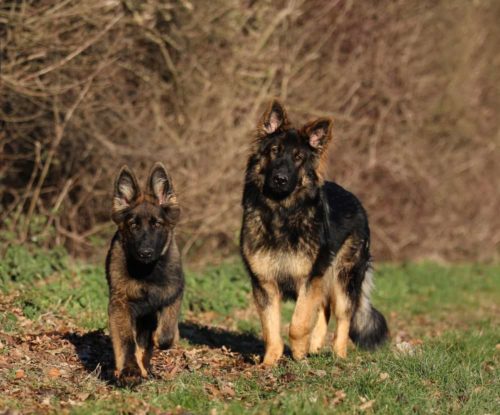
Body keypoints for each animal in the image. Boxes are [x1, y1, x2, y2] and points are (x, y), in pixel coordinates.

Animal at [106, 163, 185, 386]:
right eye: (134, 225)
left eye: (156, 224)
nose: (145, 253)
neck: (147, 273)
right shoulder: (120, 304)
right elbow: (126, 341)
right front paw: (130, 370)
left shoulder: (174, 293)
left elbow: (166, 332)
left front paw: (165, 338)